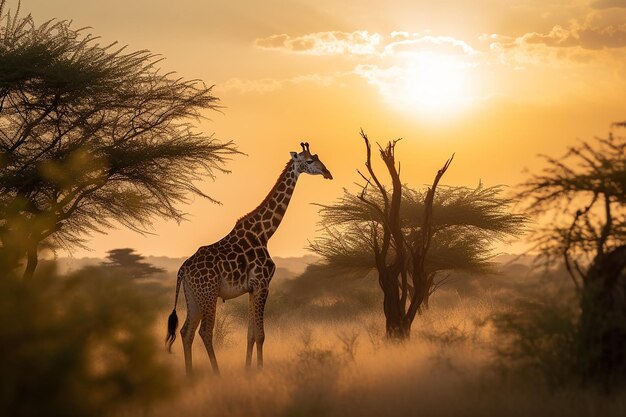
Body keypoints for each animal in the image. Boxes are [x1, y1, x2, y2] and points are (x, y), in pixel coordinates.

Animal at [165, 141, 332, 374]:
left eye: (318, 157)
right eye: (309, 161)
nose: (328, 173)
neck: (264, 233)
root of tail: (183, 269)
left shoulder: (252, 288)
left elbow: (250, 335)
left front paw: (248, 370)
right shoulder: (262, 283)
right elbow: (260, 335)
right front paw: (260, 370)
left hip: (193, 296)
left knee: (185, 331)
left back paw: (190, 375)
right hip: (208, 293)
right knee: (204, 332)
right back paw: (217, 374)